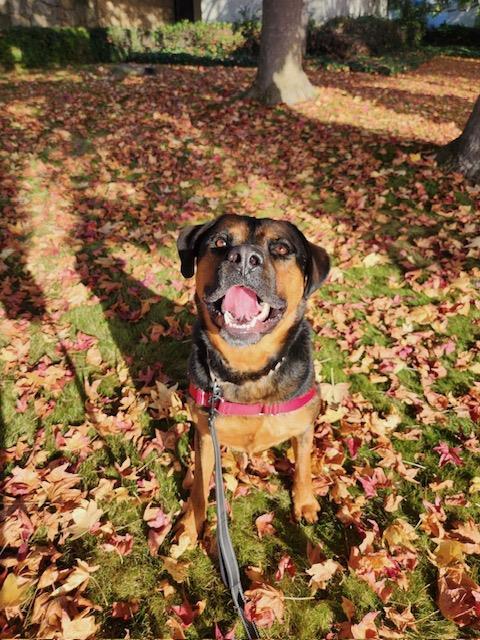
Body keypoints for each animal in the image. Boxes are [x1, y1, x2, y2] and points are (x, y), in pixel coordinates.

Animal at [176, 214, 330, 540]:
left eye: (282, 248)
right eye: (220, 241)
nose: (244, 258)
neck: (248, 369)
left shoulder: (303, 426)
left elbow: (303, 466)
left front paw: (305, 501)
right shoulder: (206, 432)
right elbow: (200, 483)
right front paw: (191, 522)